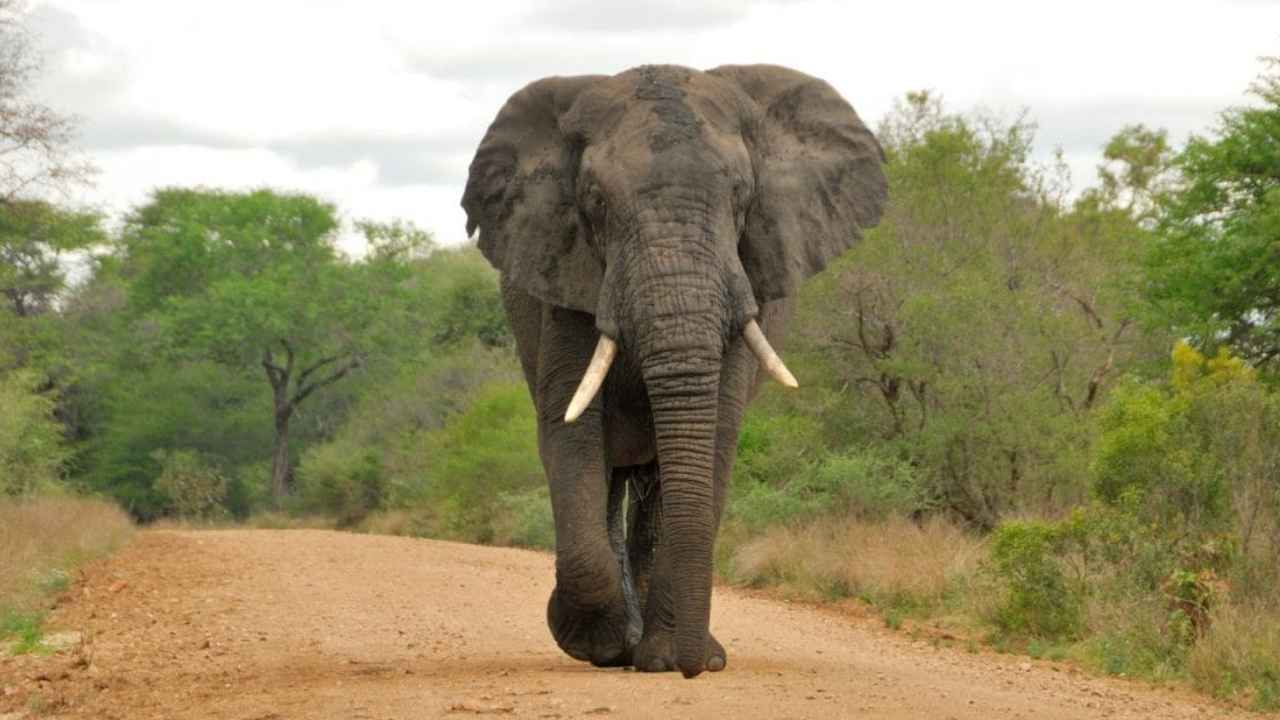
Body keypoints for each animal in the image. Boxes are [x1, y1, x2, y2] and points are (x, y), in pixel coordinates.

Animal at [461, 64, 887, 678]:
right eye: (594, 202)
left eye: (741, 195)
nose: (693, 669)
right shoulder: (567, 278)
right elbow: (571, 427)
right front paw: (594, 642)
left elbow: (715, 435)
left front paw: (667, 658)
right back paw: (623, 645)